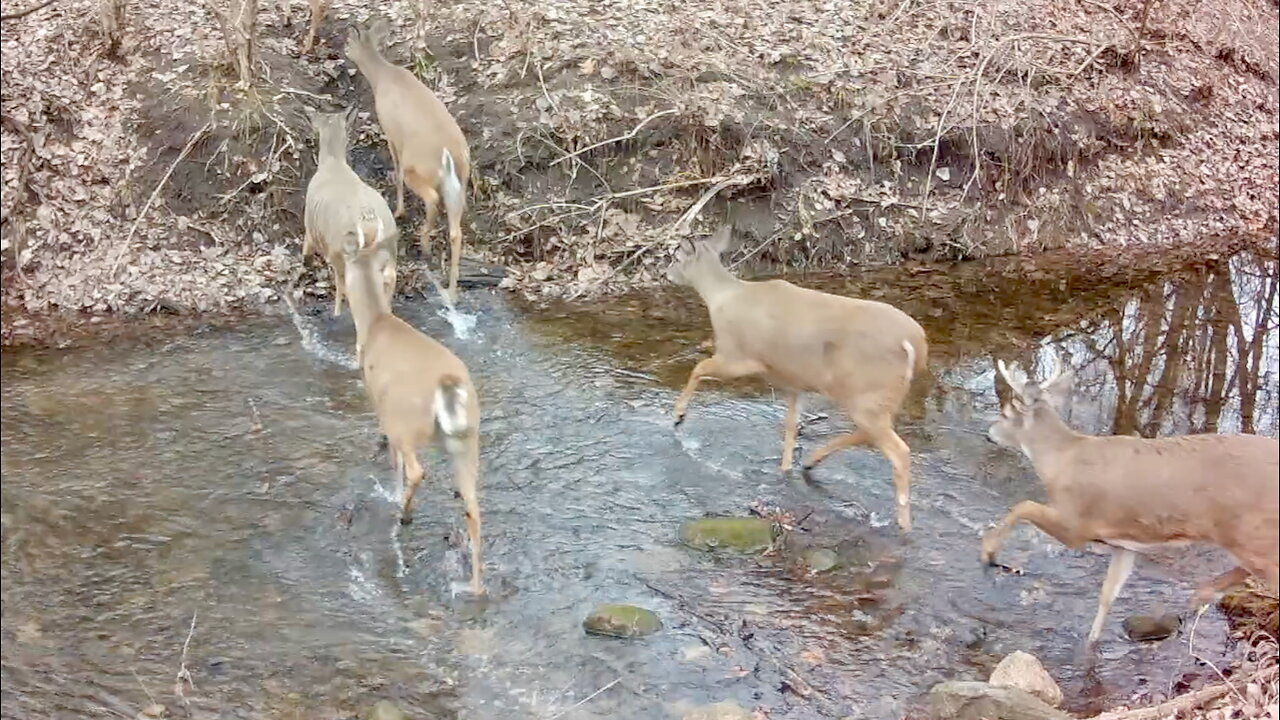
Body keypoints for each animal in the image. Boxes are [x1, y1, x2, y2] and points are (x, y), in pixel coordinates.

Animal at [302, 106, 399, 319]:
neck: (332, 163)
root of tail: (369, 221)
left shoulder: (310, 227)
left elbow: (306, 247)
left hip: (340, 248)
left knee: (345, 284)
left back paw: (339, 313)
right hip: (389, 245)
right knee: (388, 277)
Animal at [339, 217, 485, 595]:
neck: (375, 323)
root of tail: (448, 386)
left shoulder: (379, 402)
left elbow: (392, 456)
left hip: (406, 421)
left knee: (417, 469)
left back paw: (403, 513)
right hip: (467, 439)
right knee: (474, 507)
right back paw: (475, 586)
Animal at [345, 20, 472, 303]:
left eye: (349, 42)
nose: (344, 52)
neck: (382, 76)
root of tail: (449, 153)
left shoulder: (390, 131)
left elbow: (395, 164)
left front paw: (399, 210)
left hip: (419, 169)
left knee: (431, 198)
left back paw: (424, 246)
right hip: (461, 181)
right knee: (456, 231)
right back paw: (451, 291)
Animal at [667, 225, 929, 532]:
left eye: (676, 257)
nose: (666, 273)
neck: (724, 298)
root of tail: (914, 344)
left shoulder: (739, 355)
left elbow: (699, 367)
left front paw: (678, 416)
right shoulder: (793, 381)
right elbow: (791, 424)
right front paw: (785, 468)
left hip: (867, 391)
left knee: (898, 451)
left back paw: (903, 523)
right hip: (878, 395)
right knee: (870, 434)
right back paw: (811, 461)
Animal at [983, 353, 1280, 646]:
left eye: (1006, 412)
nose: (989, 433)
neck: (1061, 460)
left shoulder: (1075, 524)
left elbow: (1022, 506)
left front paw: (989, 552)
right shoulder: (1124, 544)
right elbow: (1108, 594)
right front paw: (1091, 641)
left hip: (1254, 535)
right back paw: (1205, 592)